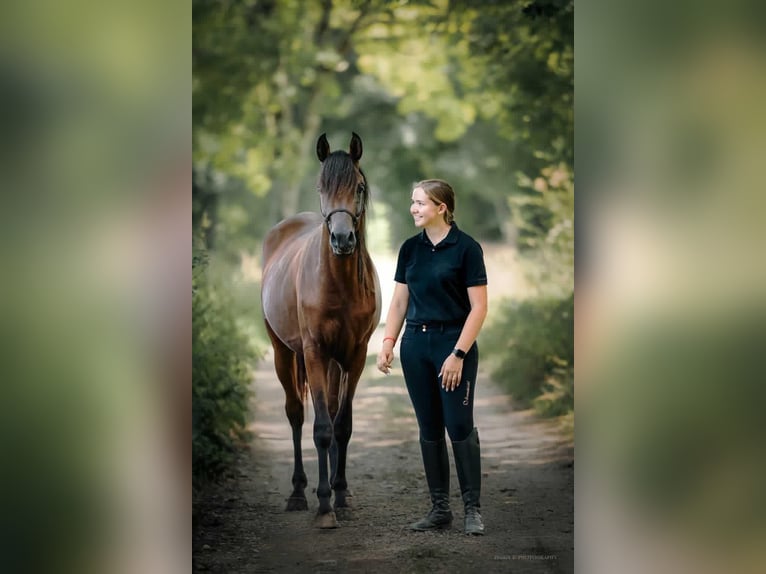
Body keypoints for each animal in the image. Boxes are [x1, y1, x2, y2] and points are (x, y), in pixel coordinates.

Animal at [260, 133, 380, 528]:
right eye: (320, 187)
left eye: (359, 187)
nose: (342, 240)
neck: (338, 284)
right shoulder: (314, 352)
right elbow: (322, 429)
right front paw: (325, 507)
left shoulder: (355, 357)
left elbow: (341, 425)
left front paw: (340, 495)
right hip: (284, 353)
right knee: (297, 414)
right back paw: (299, 492)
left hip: (331, 363)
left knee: (327, 408)